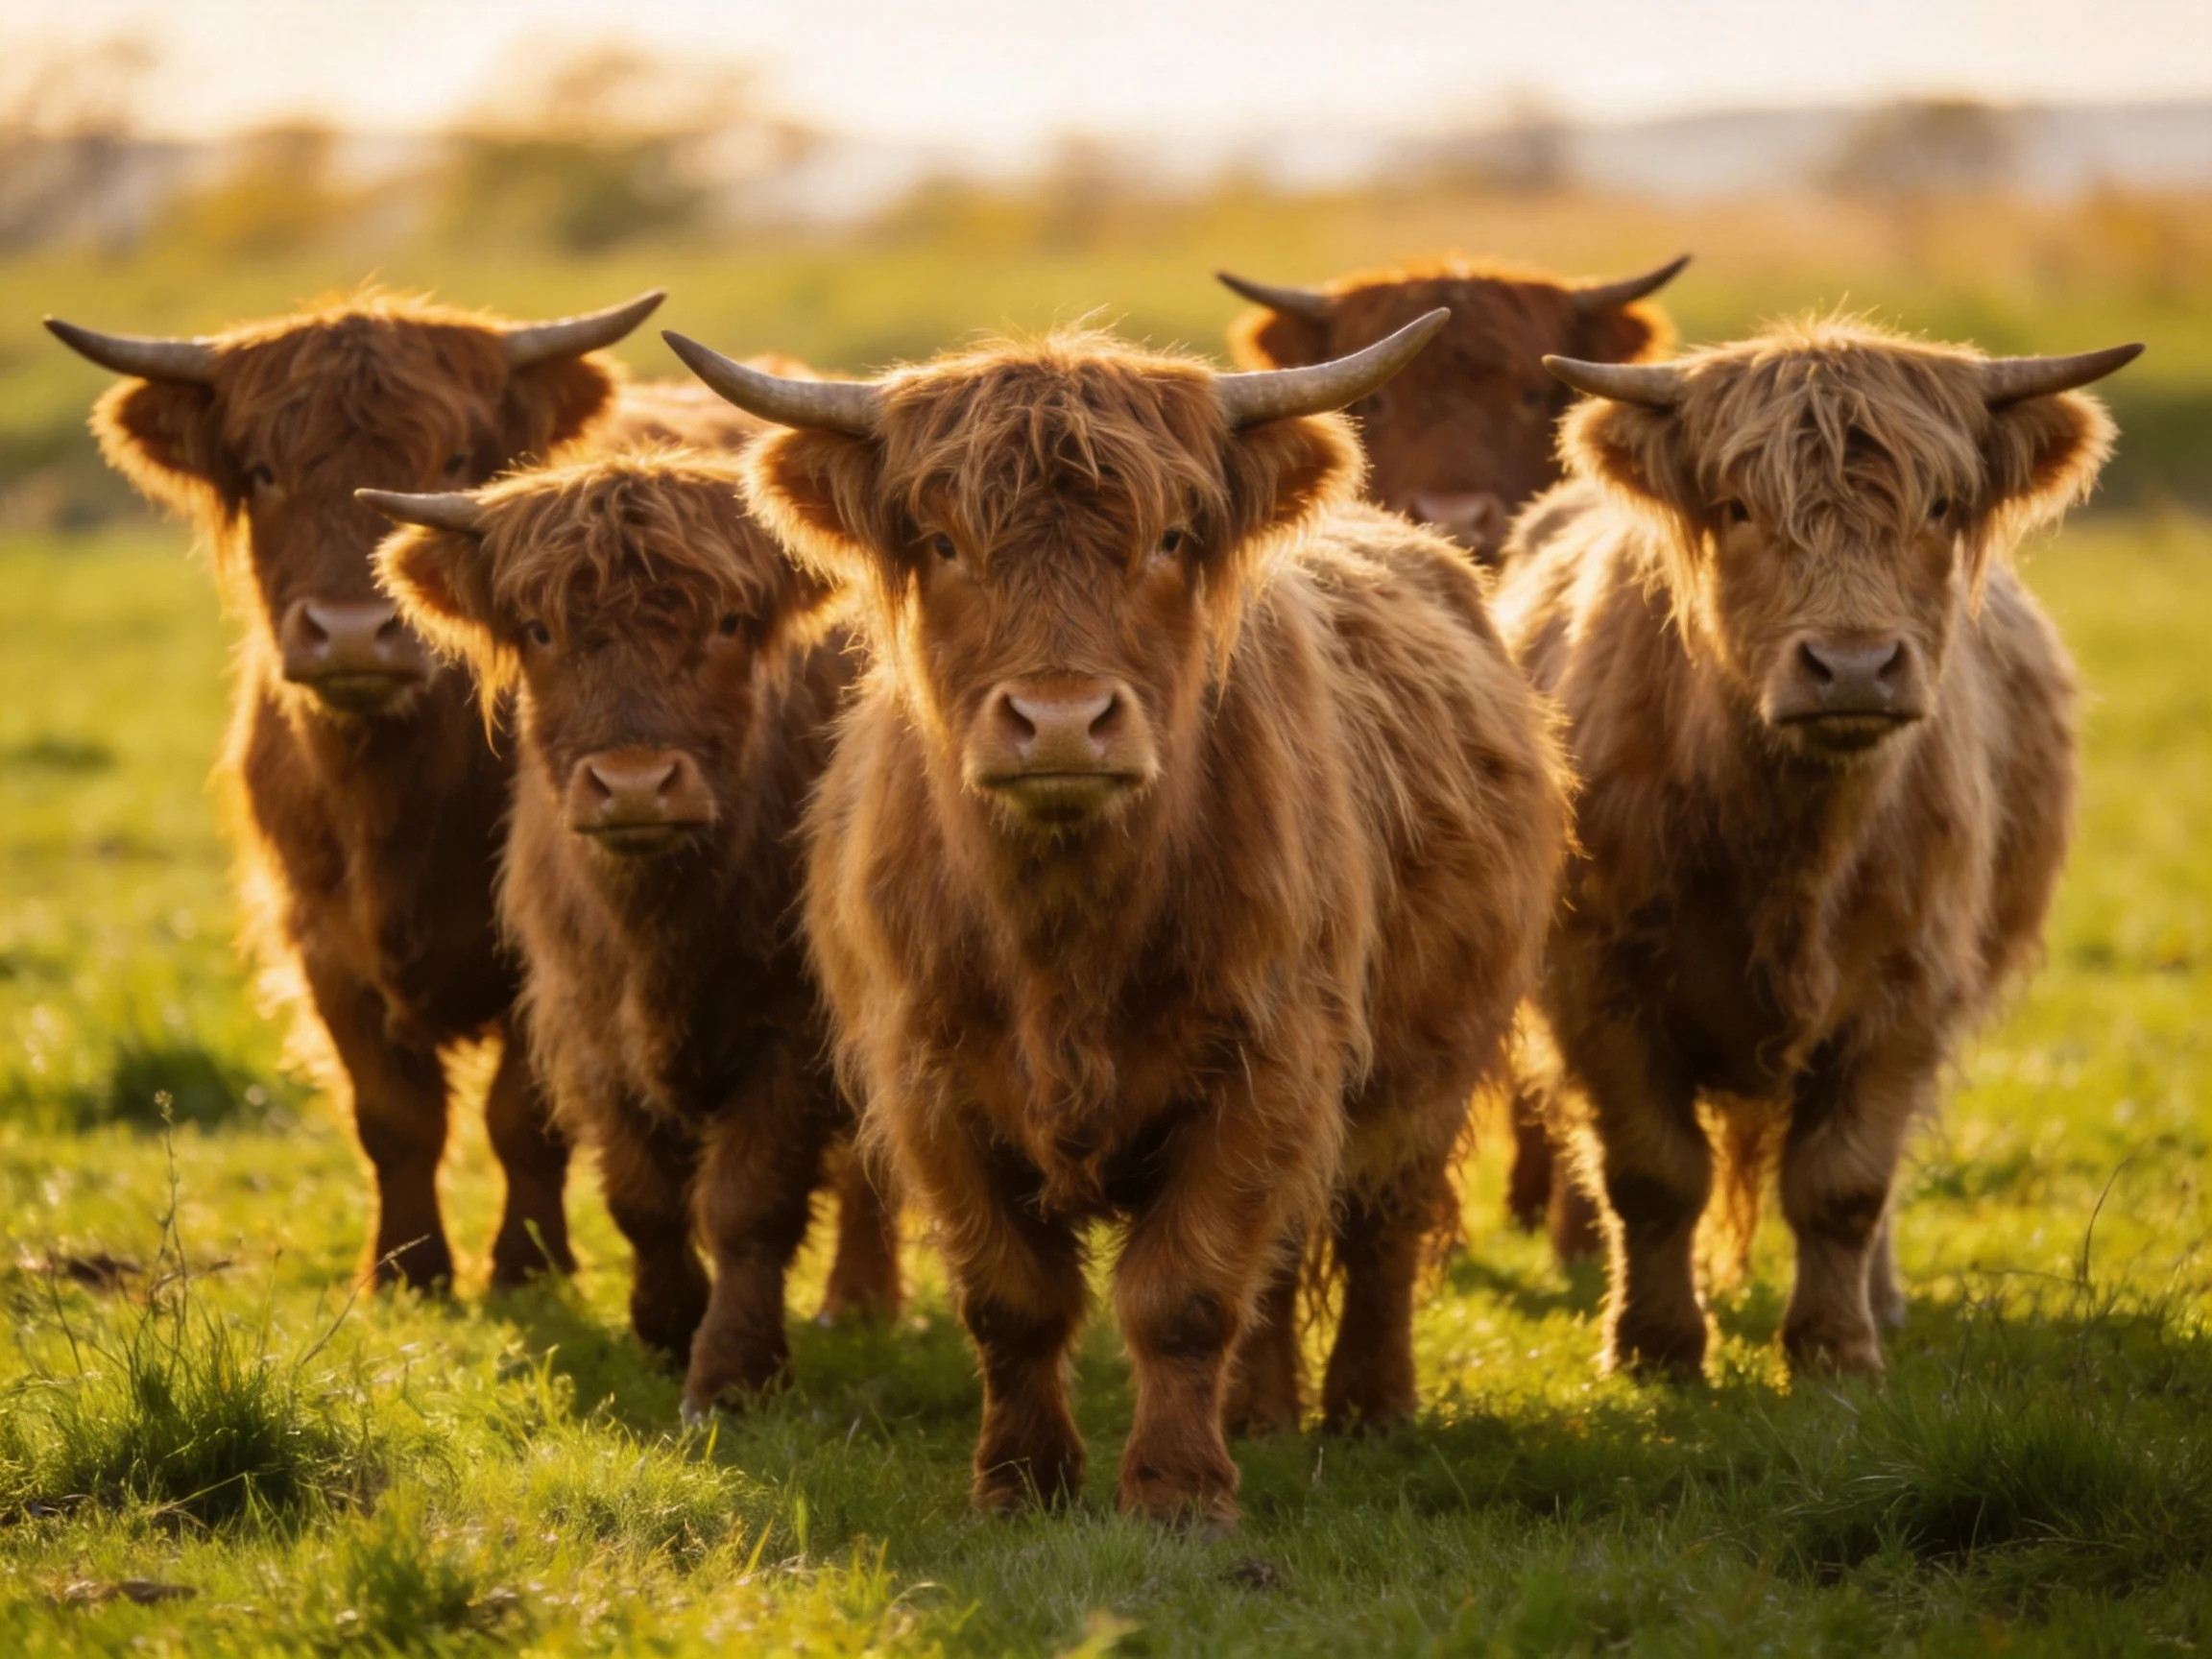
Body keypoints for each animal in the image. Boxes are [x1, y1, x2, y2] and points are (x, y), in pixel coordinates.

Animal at [47, 289, 664, 1291]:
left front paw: (527, 1263)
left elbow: (522, 1116)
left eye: (454, 460)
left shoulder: (548, 945)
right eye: (263, 472)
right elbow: (393, 1116)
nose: (350, 634)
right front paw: (408, 1267)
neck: (396, 800)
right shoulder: (320, 939)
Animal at [363, 453, 899, 1416]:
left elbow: (750, 1202)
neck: (660, 925)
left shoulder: (793, 1032)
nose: (636, 785)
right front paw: (665, 1325)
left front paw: (732, 1371)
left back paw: (860, 1299)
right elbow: (642, 1197)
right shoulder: (587, 1023)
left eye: (729, 623)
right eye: (540, 630)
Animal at [663, 314, 1569, 1528]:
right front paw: (1021, 1483)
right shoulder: (930, 1082)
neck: (1065, 943)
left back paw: (1370, 1412)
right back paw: (1262, 1414)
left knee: (1378, 1229)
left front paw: (1179, 1496)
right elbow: (1014, 1298)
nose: (1059, 720)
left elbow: (1184, 1293)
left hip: (1425, 1069)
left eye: (1172, 537)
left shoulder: (1270, 1066)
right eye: (943, 541)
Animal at [1491, 315, 2138, 1381]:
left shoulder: (1906, 990)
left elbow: (1845, 1184)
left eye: (1940, 505)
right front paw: (1655, 1348)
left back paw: (1883, 1303)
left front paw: (1837, 1351)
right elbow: (1652, 1176)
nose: (1853, 666)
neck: (1789, 846)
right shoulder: (1601, 986)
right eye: (1739, 507)